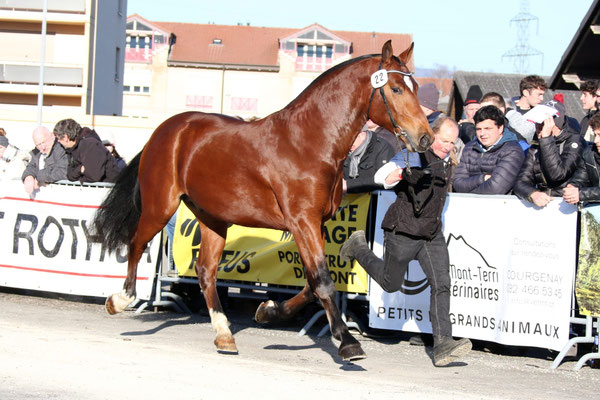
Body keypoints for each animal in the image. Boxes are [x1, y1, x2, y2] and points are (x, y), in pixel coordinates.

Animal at [92, 41, 432, 362]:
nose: (425, 137)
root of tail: (165, 130)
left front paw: (268, 311)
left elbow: (311, 283)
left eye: (415, 87)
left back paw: (224, 335)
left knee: (205, 271)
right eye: (396, 88)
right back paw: (119, 300)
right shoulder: (302, 222)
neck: (308, 142)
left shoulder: (316, 223)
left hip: (213, 217)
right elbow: (322, 281)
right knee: (137, 243)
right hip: (160, 206)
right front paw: (348, 342)